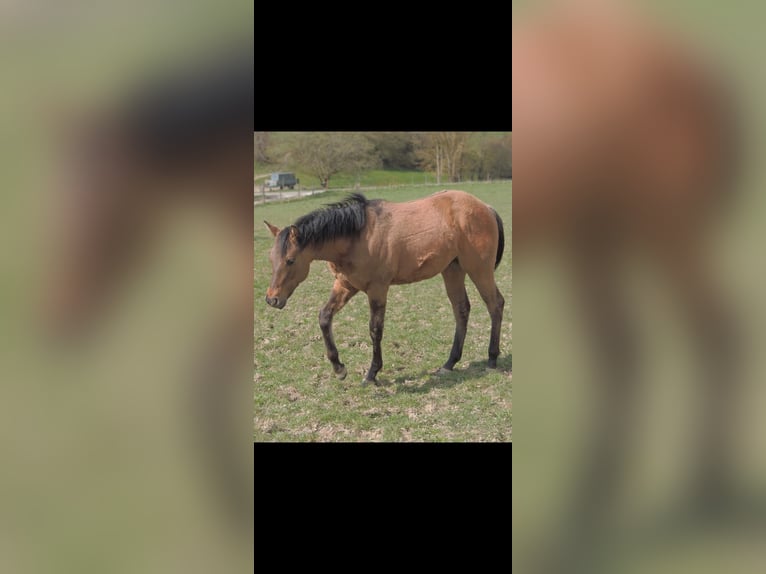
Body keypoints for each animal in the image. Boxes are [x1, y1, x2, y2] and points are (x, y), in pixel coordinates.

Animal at [264, 190, 506, 385]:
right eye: (271, 258)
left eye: (290, 260)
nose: (272, 299)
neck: (357, 236)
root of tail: (486, 207)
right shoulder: (345, 285)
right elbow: (324, 317)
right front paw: (339, 368)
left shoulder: (377, 289)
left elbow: (375, 330)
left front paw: (372, 374)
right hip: (453, 270)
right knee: (462, 309)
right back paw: (449, 364)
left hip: (479, 270)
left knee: (495, 304)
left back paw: (492, 359)